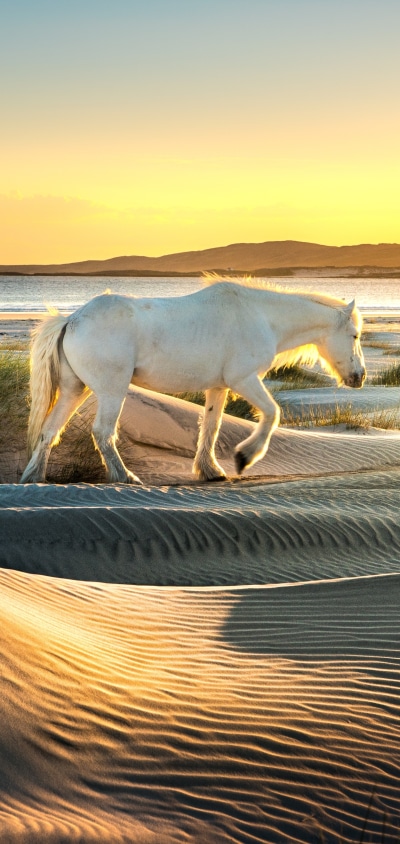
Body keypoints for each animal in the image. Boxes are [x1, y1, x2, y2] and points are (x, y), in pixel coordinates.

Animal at [20, 278, 366, 484]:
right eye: (355, 335)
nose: (360, 377)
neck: (261, 317)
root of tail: (71, 319)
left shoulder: (219, 387)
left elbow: (210, 428)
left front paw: (210, 470)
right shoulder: (244, 380)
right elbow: (272, 414)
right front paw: (244, 457)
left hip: (74, 390)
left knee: (49, 431)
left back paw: (32, 478)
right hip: (111, 391)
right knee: (103, 433)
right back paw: (126, 478)